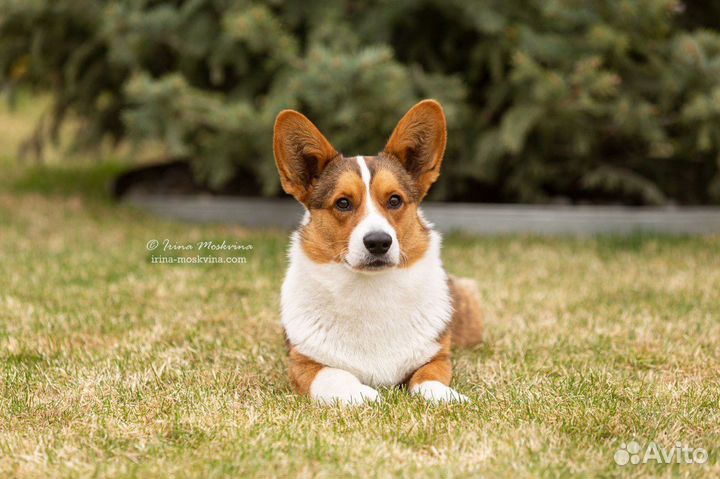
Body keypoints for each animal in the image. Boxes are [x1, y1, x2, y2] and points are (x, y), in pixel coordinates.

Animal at [272, 100, 480, 404]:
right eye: (343, 203)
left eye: (394, 200)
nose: (379, 242)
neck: (371, 289)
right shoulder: (302, 362)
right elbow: (334, 375)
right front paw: (362, 394)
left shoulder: (437, 357)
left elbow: (428, 378)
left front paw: (446, 396)